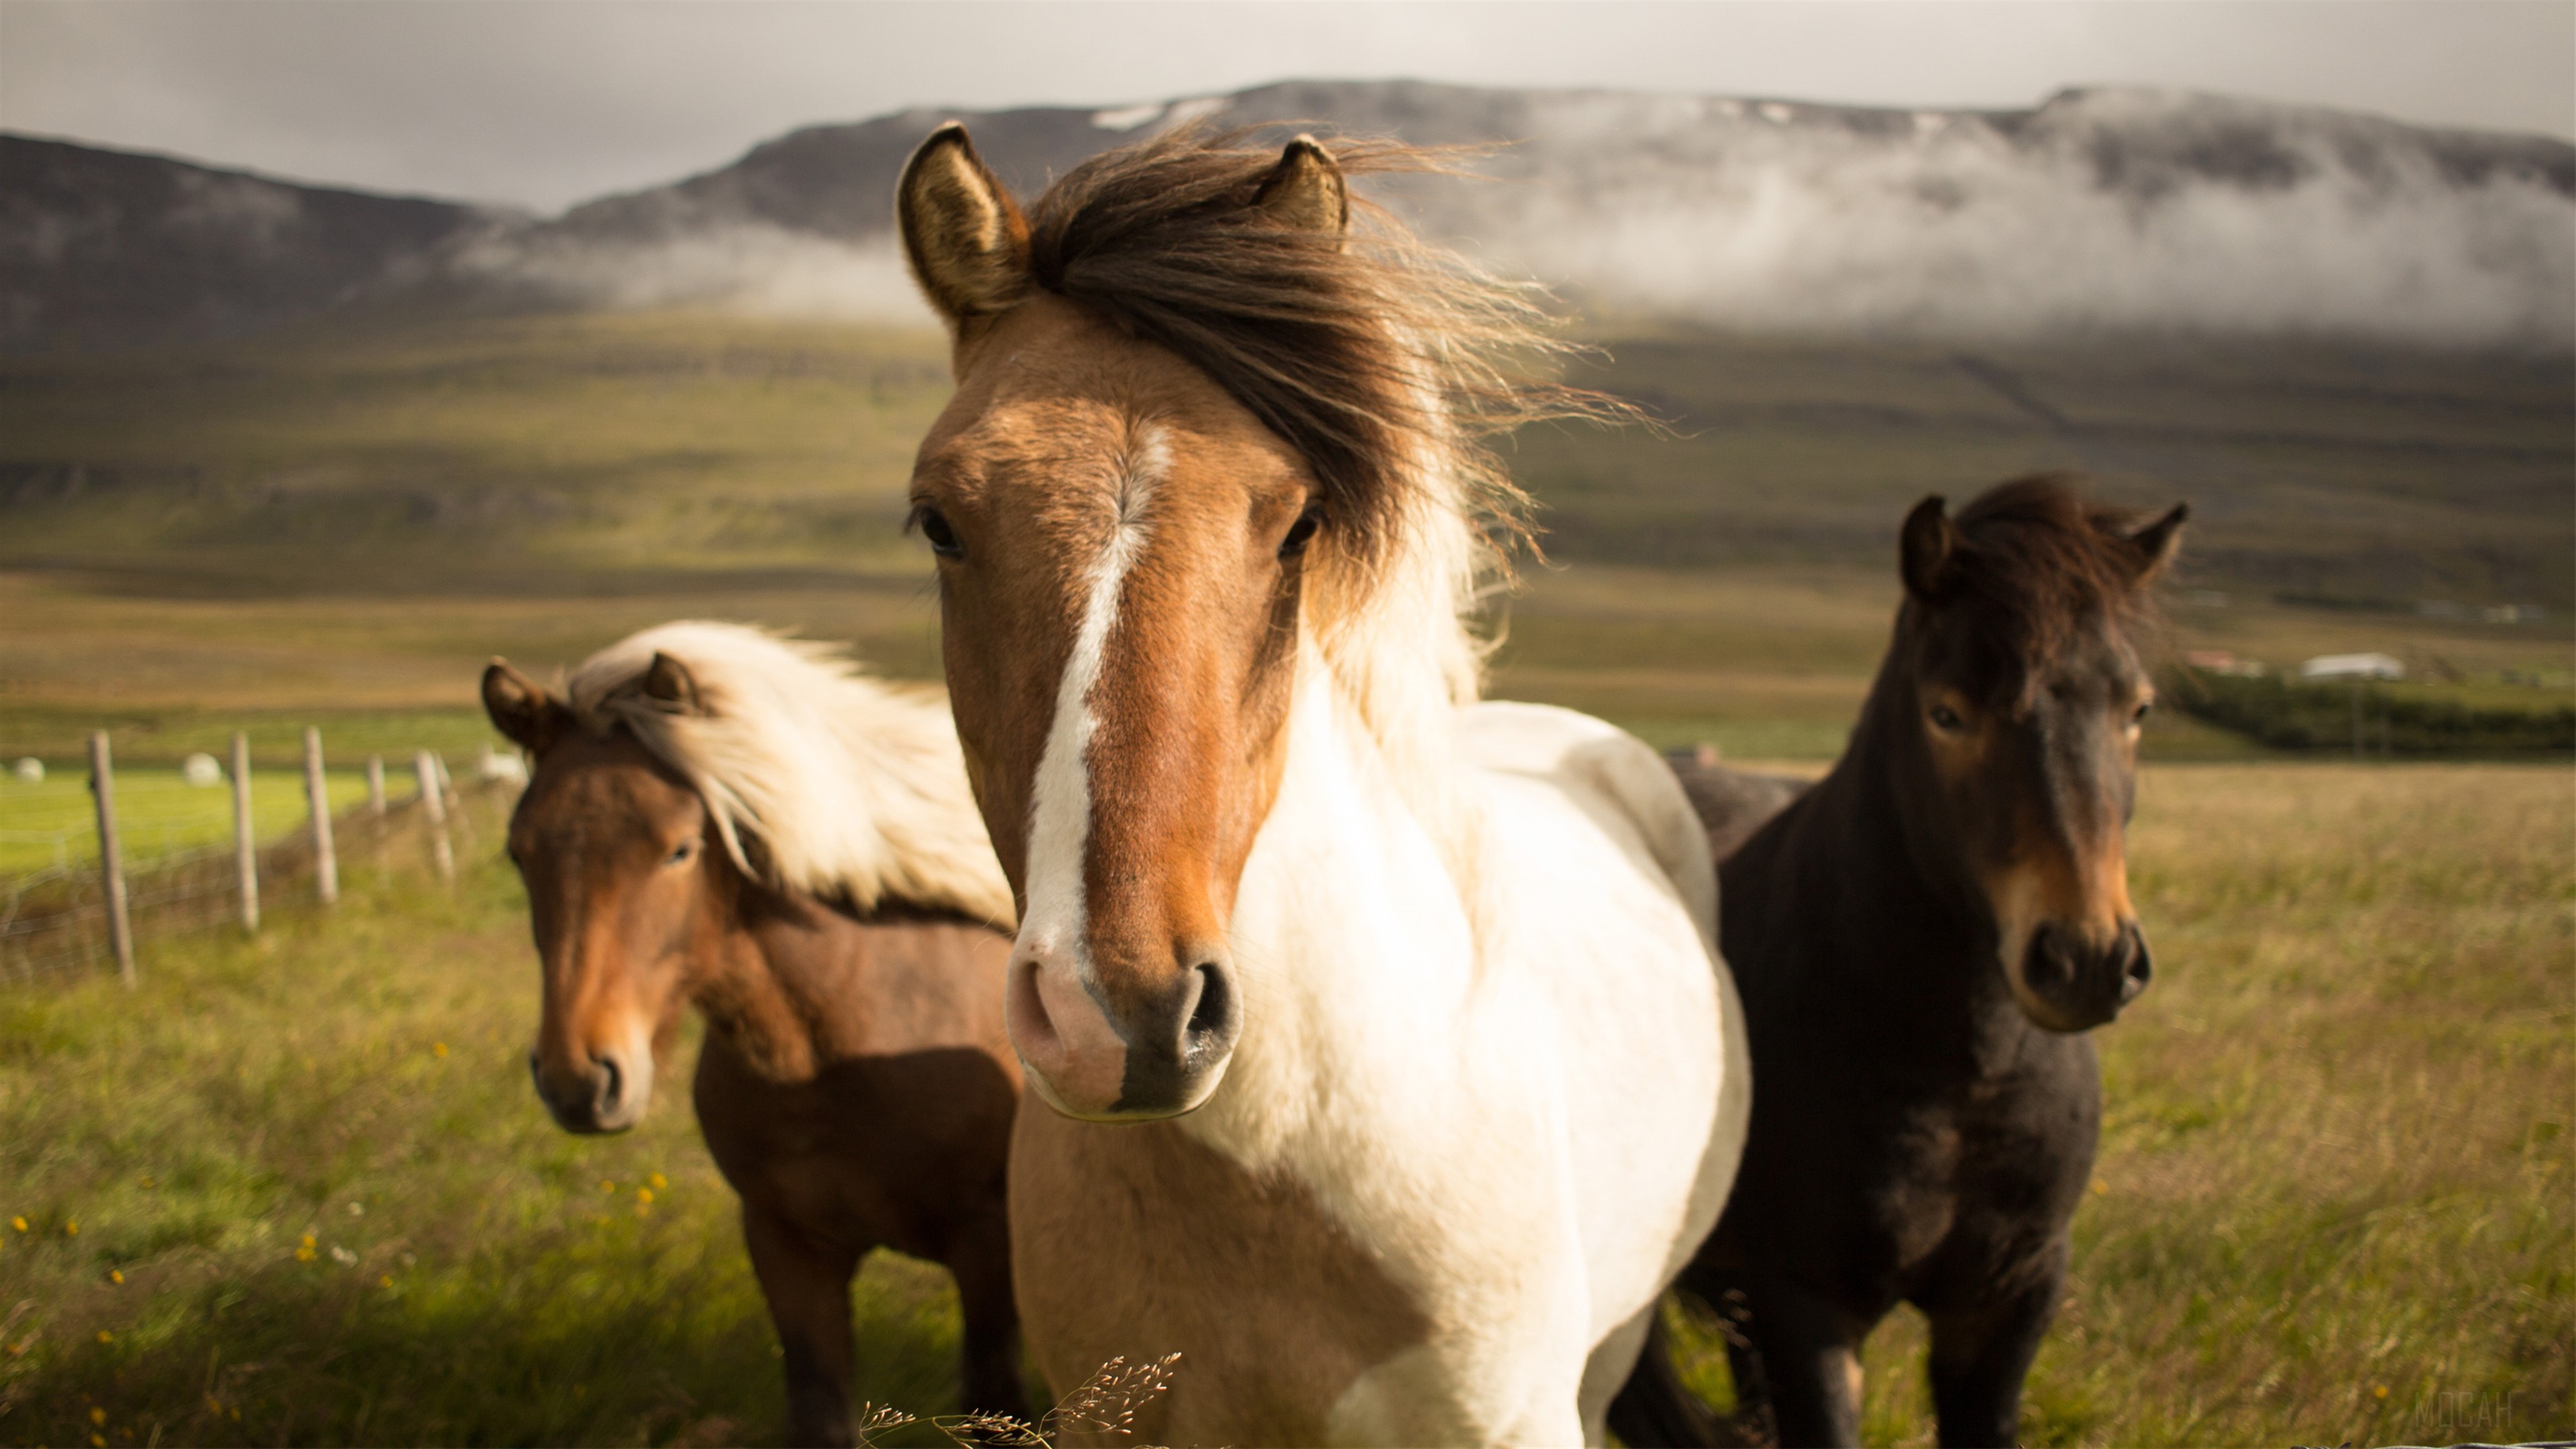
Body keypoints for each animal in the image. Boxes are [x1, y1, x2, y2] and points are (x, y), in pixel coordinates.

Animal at [479, 622, 1031, 1445]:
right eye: (520, 851)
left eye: (679, 849)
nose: (580, 1080)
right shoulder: (787, 1250)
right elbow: (820, 1410)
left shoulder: (989, 1249)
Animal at [1612, 475, 2186, 1448]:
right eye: (1947, 712)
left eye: (2136, 710)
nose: (2087, 959)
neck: (1962, 1074)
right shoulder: (1808, 1307)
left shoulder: (2009, 1299)